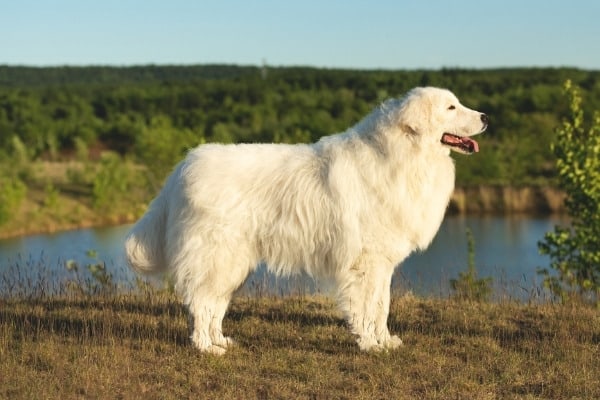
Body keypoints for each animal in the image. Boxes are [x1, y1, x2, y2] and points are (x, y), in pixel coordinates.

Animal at [124, 86, 486, 354]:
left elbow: (381, 306)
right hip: (217, 256)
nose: (485, 117)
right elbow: (366, 307)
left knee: (214, 303)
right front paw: (370, 345)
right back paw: (205, 348)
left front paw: (385, 342)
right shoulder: (365, 263)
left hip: (231, 262)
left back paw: (220, 341)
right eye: (451, 108)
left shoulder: (382, 264)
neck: (404, 153)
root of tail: (183, 167)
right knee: (201, 302)